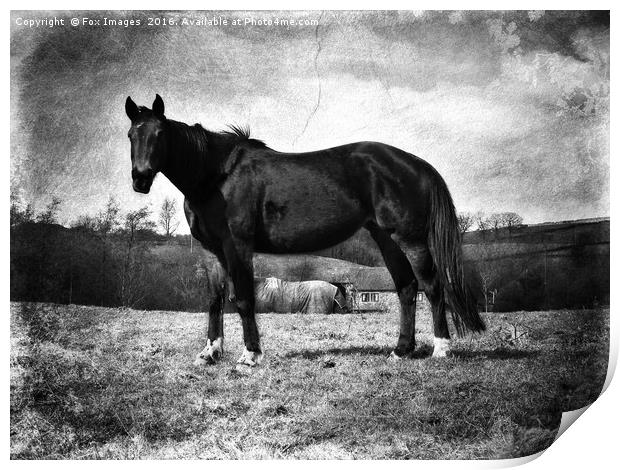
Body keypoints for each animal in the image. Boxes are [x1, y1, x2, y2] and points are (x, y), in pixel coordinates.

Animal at [124, 94, 484, 368]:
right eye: (131, 135)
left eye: (160, 134)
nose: (140, 178)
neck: (217, 176)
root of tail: (416, 164)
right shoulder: (212, 250)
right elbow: (215, 299)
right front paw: (210, 352)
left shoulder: (238, 245)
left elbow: (243, 298)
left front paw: (250, 355)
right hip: (386, 238)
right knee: (407, 289)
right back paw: (400, 351)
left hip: (410, 239)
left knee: (432, 286)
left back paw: (441, 349)